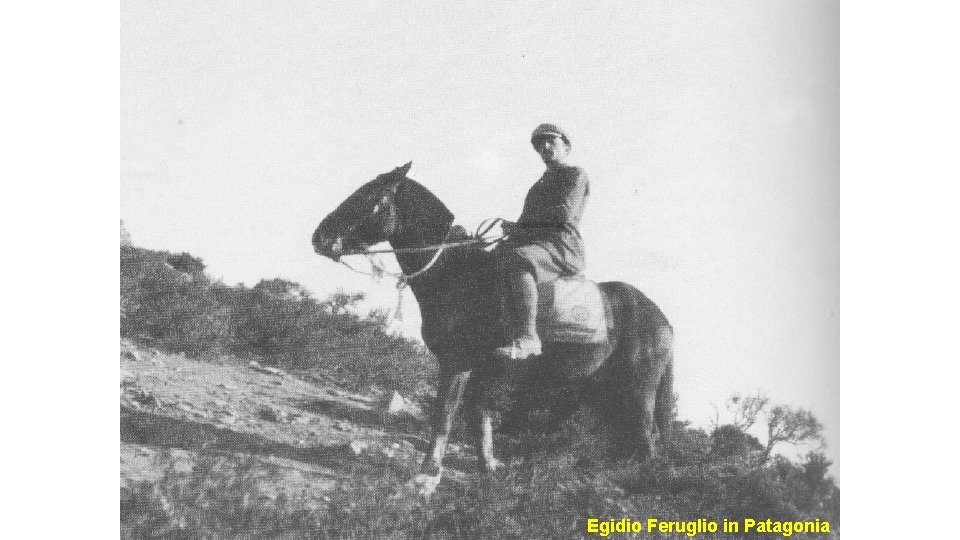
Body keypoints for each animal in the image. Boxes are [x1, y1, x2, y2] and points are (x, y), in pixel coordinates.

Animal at [312, 162, 672, 496]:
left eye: (371, 198)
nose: (320, 238)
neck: (459, 274)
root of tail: (661, 318)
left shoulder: (457, 363)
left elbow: (445, 416)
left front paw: (426, 477)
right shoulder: (483, 370)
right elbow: (479, 417)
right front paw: (489, 469)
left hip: (638, 390)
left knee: (646, 439)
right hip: (603, 389)